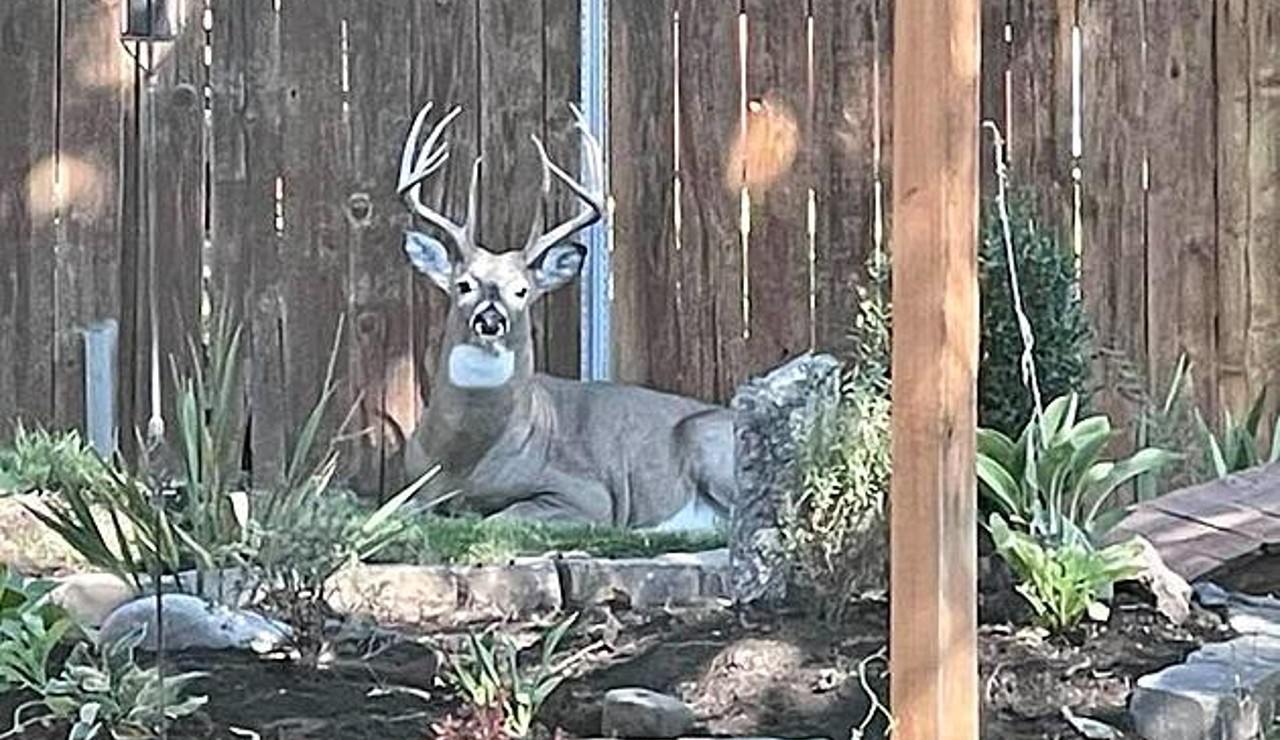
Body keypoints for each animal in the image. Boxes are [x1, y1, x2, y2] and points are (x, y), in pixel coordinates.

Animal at [393, 100, 735, 531]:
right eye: (464, 285)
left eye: (522, 290)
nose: (490, 320)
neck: (461, 462)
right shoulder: (412, 488)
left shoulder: (588, 493)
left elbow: (498, 518)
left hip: (705, 435)